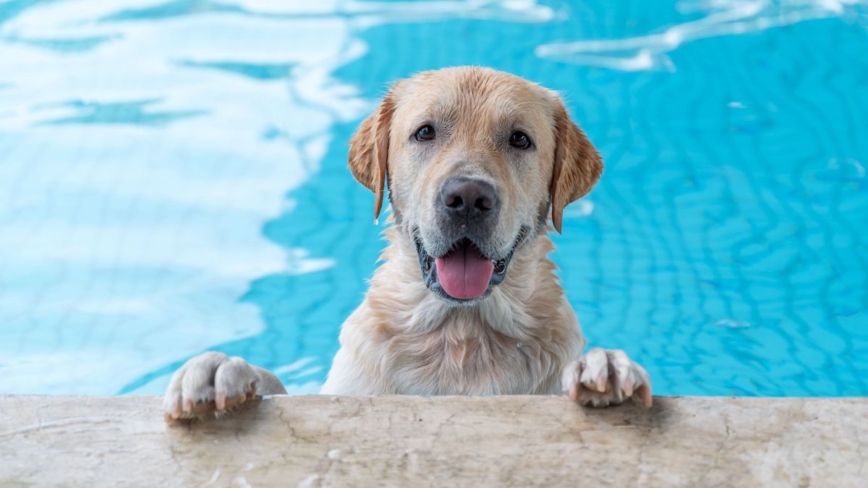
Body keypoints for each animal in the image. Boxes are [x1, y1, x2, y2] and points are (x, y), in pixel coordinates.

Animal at [163, 66, 652, 424]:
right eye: (425, 132)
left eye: (519, 139)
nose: (468, 198)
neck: (460, 335)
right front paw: (220, 369)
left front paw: (607, 367)